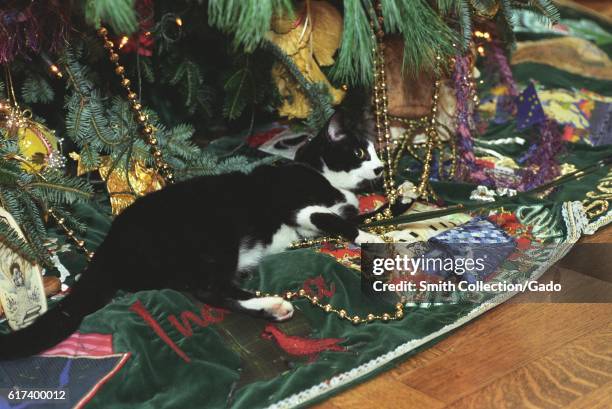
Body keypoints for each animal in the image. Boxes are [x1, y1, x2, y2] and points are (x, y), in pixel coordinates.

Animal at [1, 111, 392, 356]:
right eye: (360, 151)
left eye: (377, 152)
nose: (380, 168)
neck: (317, 173)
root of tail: (107, 247)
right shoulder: (297, 206)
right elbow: (337, 220)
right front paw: (370, 239)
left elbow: (364, 213)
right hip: (213, 239)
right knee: (208, 291)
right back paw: (273, 304)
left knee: (211, 289)